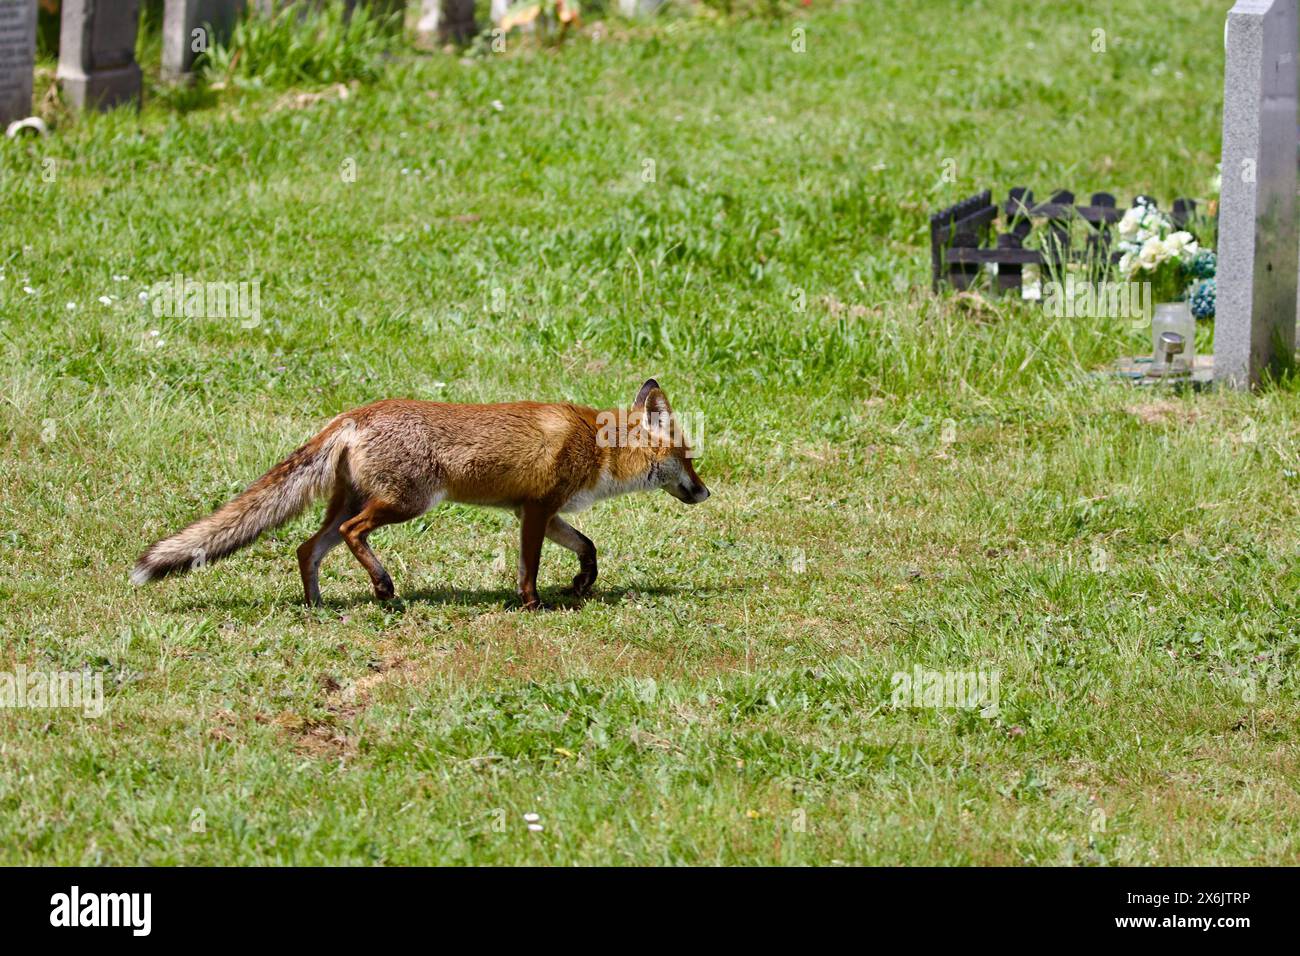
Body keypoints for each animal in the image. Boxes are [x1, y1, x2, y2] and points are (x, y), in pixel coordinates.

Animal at [130, 379, 709, 609]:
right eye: (688, 458)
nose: (705, 492)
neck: (593, 444)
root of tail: (353, 413)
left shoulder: (541, 512)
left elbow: (589, 547)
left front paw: (582, 584)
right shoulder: (536, 511)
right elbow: (529, 568)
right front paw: (534, 605)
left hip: (352, 503)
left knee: (307, 547)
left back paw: (317, 606)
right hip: (404, 505)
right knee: (351, 533)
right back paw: (383, 589)